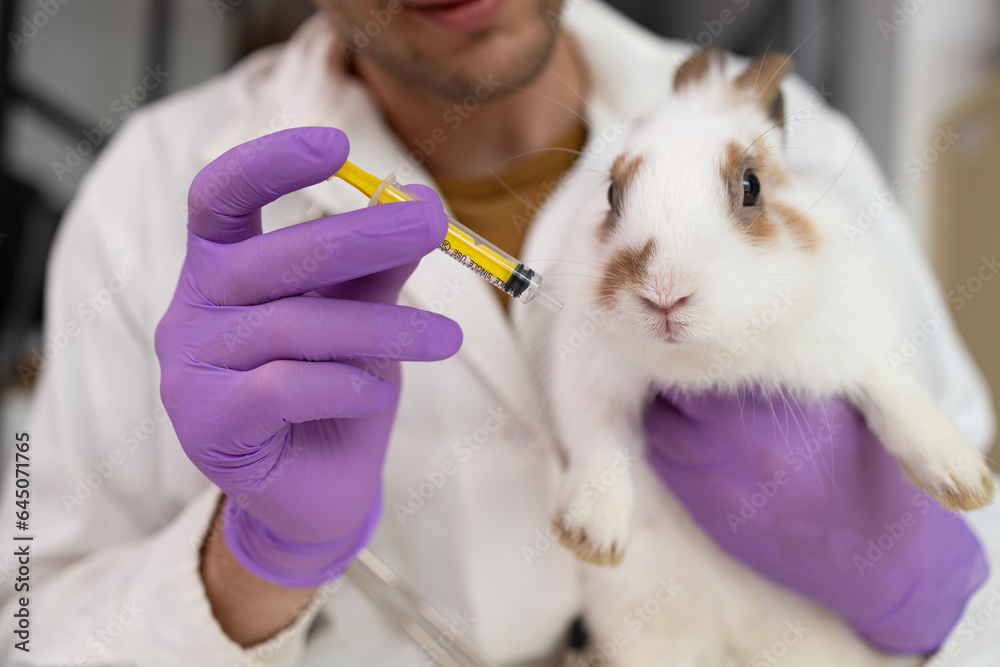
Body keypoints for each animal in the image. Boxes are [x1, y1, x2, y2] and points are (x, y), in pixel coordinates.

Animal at [543, 49, 993, 665]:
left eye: (751, 186)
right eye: (613, 194)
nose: (663, 293)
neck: (711, 359)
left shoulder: (869, 345)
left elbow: (899, 398)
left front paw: (962, 482)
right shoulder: (587, 383)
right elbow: (599, 448)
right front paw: (590, 538)